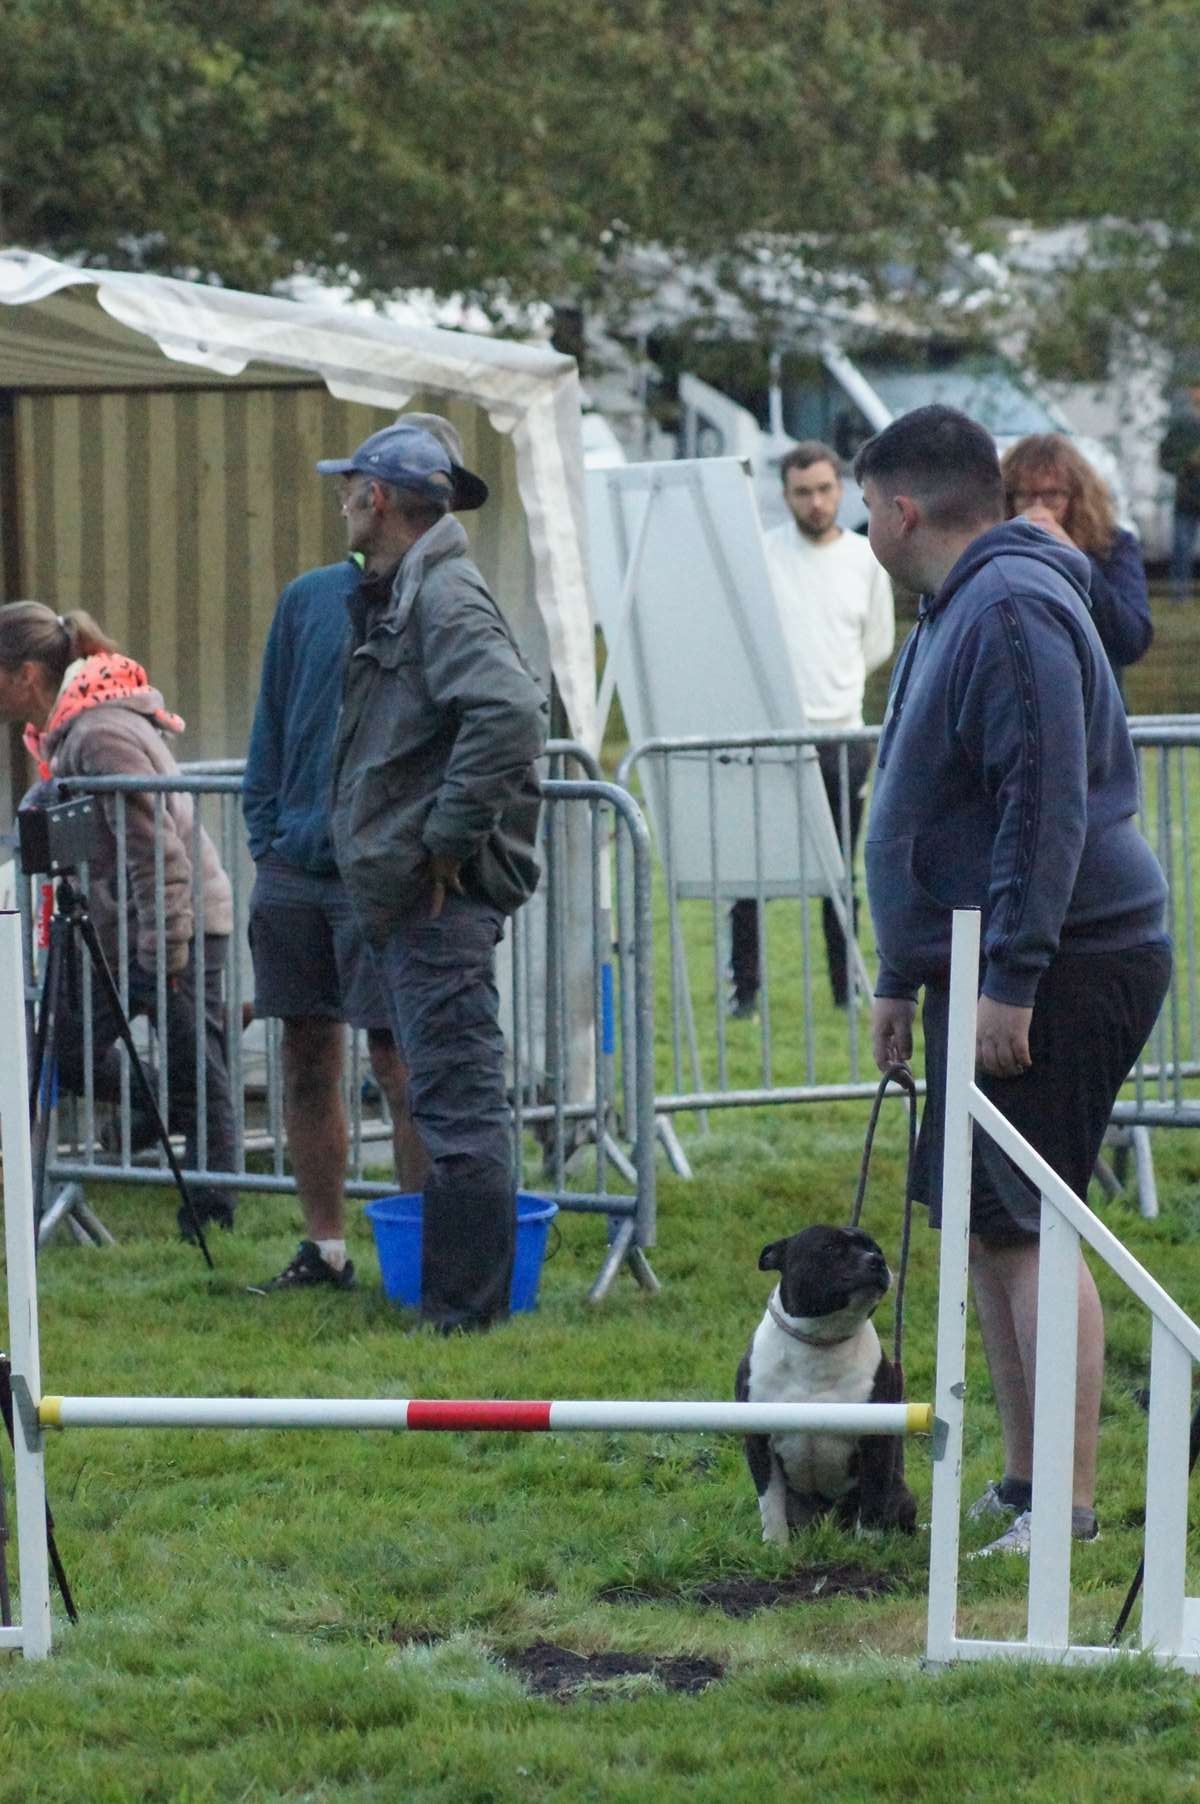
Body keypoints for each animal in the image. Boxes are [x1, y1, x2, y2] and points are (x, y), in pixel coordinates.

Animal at [729, 1219, 916, 1544]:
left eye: (875, 1248)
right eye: (829, 1248)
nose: (876, 1260)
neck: (820, 1342)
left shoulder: (877, 1440)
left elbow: (873, 1499)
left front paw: (867, 1546)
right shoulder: (758, 1439)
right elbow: (771, 1502)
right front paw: (776, 1546)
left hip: (900, 1494)